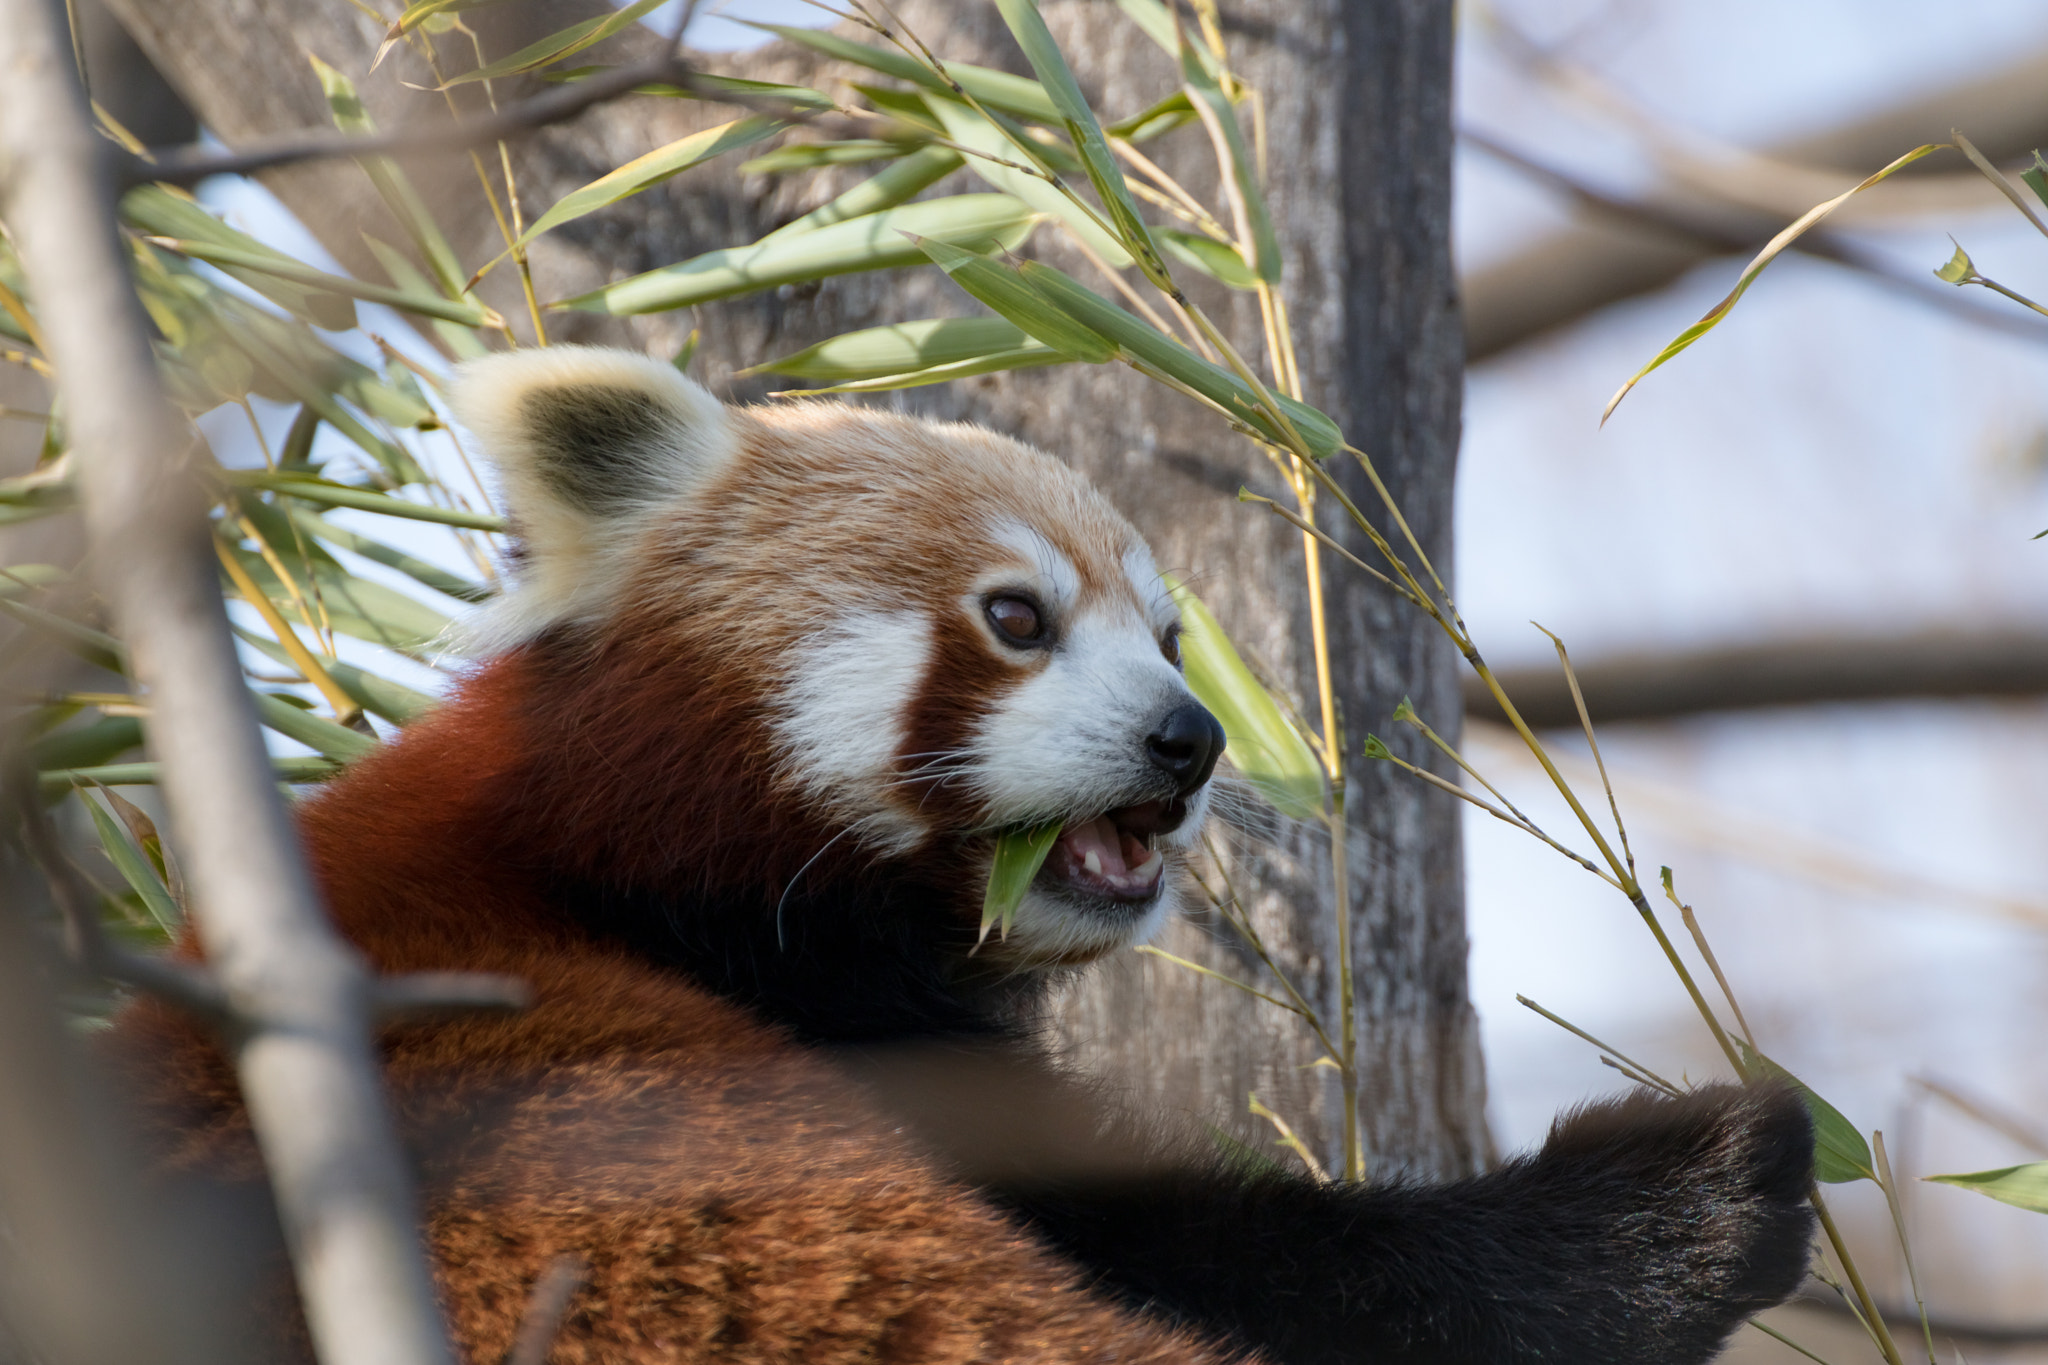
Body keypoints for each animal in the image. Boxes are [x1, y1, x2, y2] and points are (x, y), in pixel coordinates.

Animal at [111, 346, 1816, 1364]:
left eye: (1172, 638)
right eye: (1016, 617)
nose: (1194, 740)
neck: (612, 860)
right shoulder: (813, 1016)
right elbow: (1261, 1258)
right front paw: (1685, 1194)